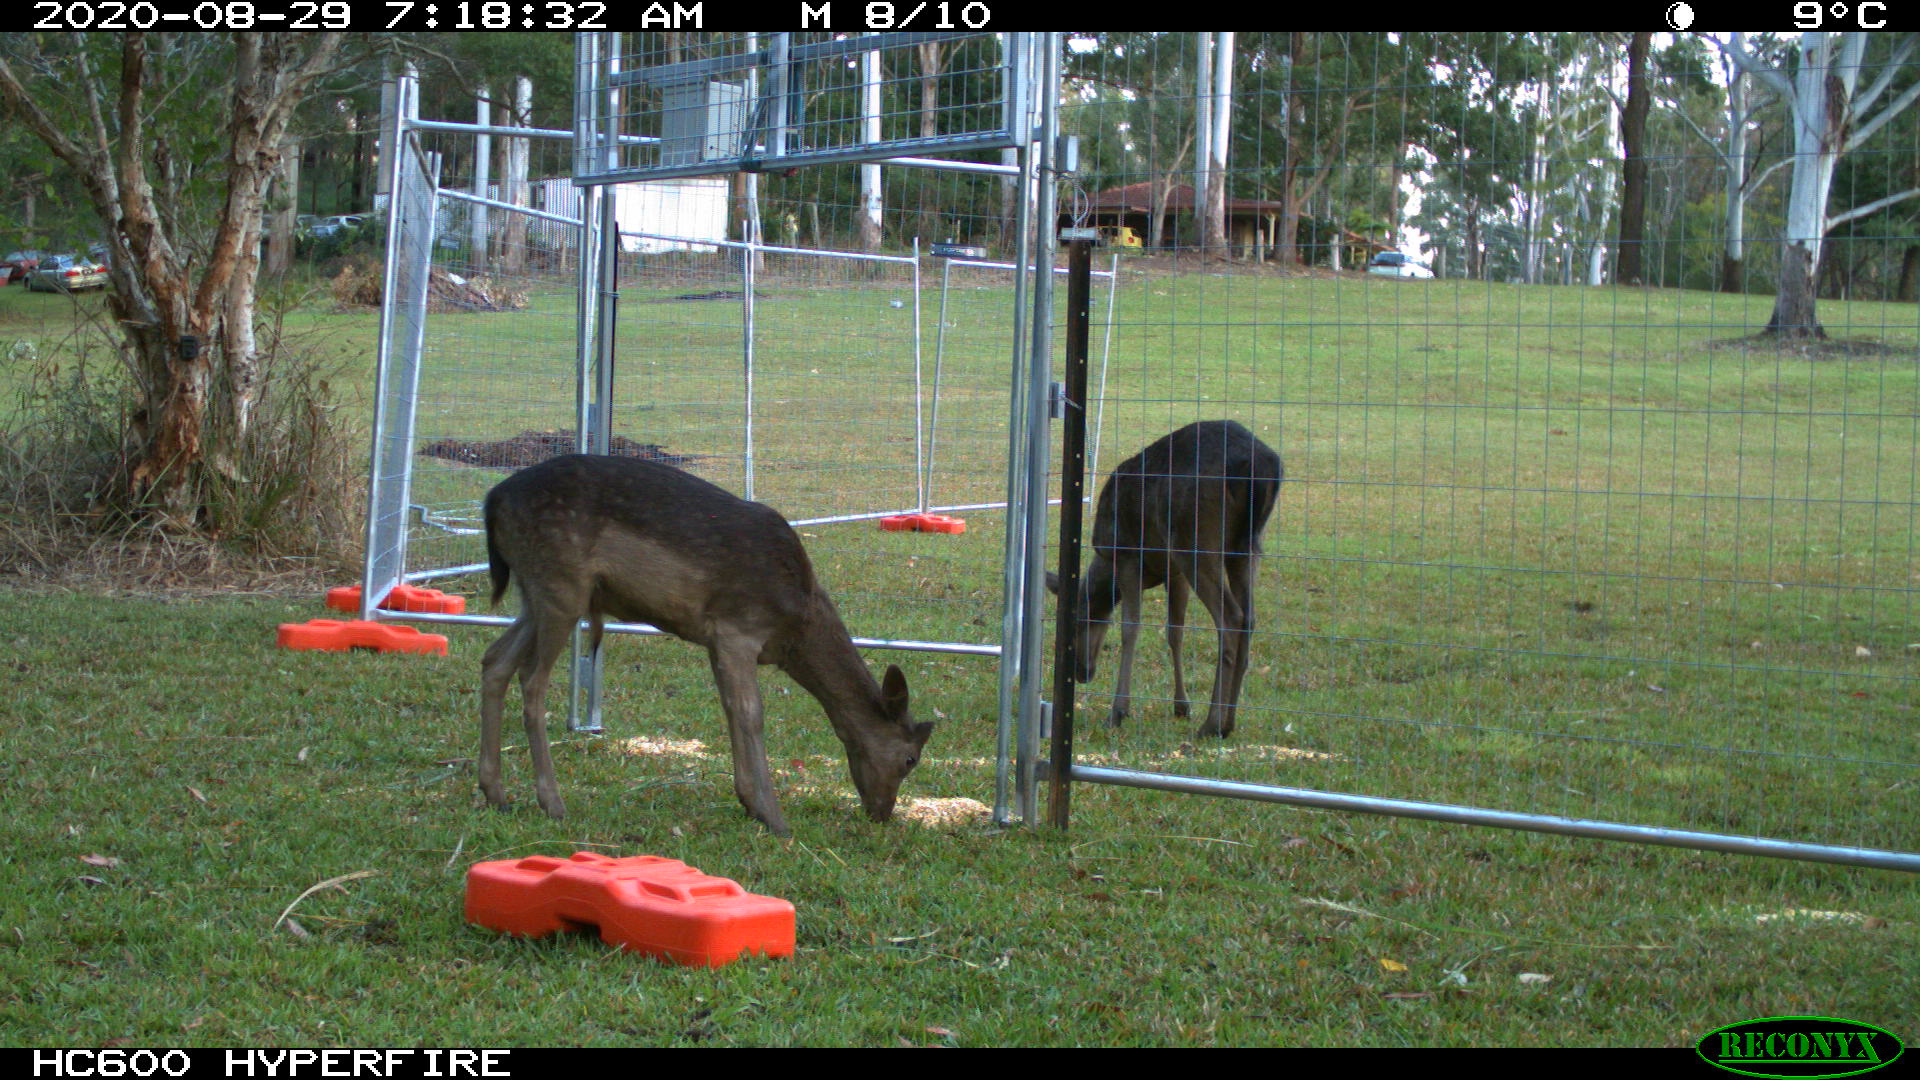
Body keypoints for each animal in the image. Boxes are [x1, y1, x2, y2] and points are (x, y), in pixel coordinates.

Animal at [476, 451, 933, 834]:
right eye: (910, 757)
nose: (882, 812)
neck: (797, 624)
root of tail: (492, 500)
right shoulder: (739, 628)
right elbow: (751, 713)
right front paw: (773, 816)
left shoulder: (717, 639)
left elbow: (730, 708)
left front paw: (749, 802)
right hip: (561, 580)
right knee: (532, 679)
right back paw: (552, 802)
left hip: (537, 591)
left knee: (495, 659)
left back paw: (496, 794)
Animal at [1052, 417, 1290, 734]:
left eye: (1077, 621)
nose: (1081, 672)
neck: (1106, 561)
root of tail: (1257, 466)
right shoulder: (1174, 573)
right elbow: (1175, 631)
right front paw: (1181, 706)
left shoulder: (1129, 555)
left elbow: (1130, 628)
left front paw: (1118, 711)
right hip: (1246, 546)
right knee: (1249, 618)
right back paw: (1228, 722)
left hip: (1195, 540)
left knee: (1230, 617)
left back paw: (1212, 723)